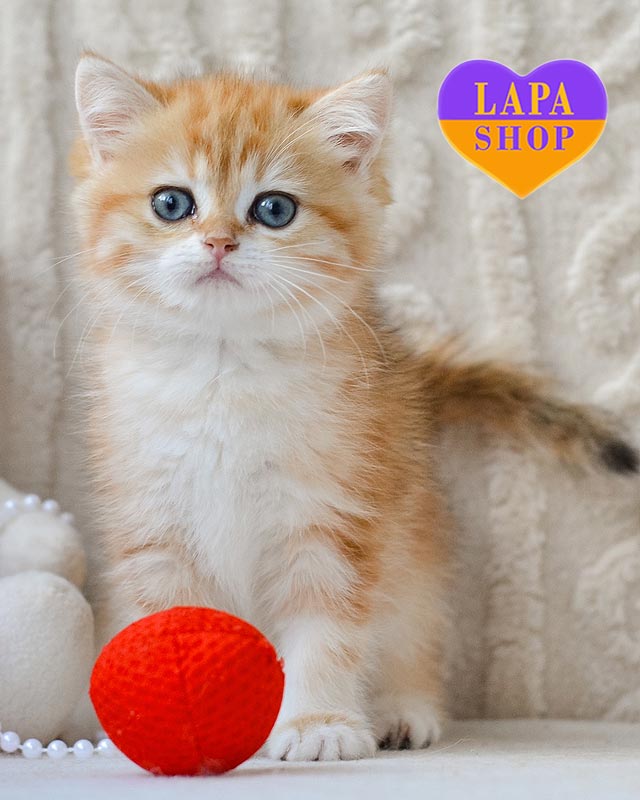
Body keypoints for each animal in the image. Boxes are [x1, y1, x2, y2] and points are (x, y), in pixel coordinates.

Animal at [70, 54, 638, 761]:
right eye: (171, 204)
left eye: (274, 209)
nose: (220, 243)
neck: (225, 371)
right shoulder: (154, 523)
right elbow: (174, 624)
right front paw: (176, 728)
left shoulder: (333, 515)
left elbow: (326, 628)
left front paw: (318, 723)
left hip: (416, 563)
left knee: (412, 639)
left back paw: (400, 710)